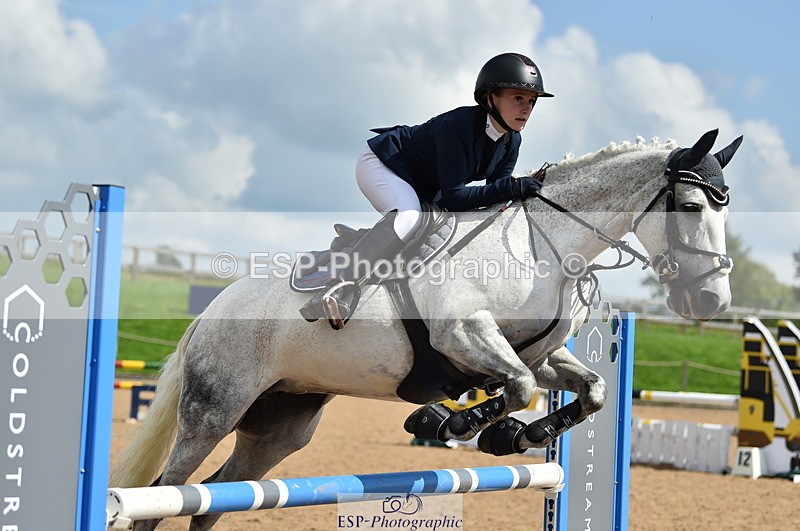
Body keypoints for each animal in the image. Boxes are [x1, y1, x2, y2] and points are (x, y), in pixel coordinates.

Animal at [110, 129, 742, 530]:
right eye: (691, 207)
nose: (712, 299)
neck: (544, 243)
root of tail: (209, 313)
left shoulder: (540, 353)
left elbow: (591, 390)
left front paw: (518, 436)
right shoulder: (462, 334)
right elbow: (514, 385)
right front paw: (452, 422)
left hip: (279, 426)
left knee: (215, 498)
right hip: (215, 408)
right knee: (165, 491)